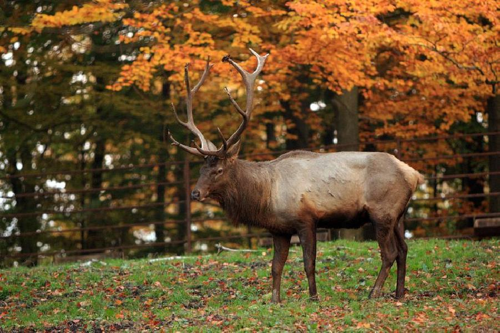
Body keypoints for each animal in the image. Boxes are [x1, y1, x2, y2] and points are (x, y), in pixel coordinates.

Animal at [168, 48, 422, 300]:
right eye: (202, 169)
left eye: (219, 170)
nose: (195, 193)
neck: (265, 197)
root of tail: (414, 174)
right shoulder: (279, 229)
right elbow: (276, 266)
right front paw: (274, 300)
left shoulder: (306, 219)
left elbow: (308, 262)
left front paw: (313, 296)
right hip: (397, 215)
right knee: (404, 249)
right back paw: (399, 294)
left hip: (382, 211)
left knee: (389, 253)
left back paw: (373, 292)